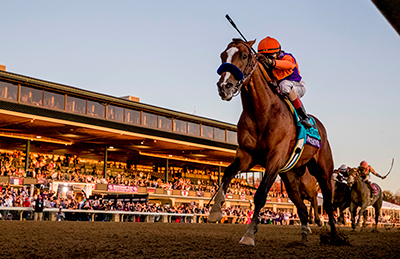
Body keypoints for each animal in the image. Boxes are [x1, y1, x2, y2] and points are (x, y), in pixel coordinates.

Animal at [209, 38, 340, 246]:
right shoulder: (247, 156)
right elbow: (228, 172)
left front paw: (249, 235)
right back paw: (304, 237)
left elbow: (261, 194)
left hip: (323, 171)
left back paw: (334, 235)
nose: (224, 86)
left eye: (244, 55)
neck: (262, 112)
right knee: (301, 207)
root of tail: (319, 125)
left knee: (327, 202)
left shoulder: (275, 159)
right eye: (223, 55)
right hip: (290, 176)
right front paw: (215, 211)